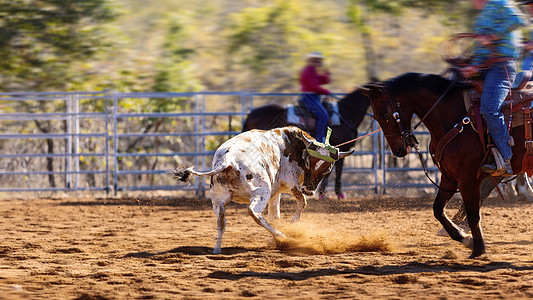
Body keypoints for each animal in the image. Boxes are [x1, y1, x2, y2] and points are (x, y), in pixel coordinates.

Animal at [170, 125, 354, 254]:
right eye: (309, 161)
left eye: (328, 168)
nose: (309, 189)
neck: (292, 145)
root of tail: (228, 161)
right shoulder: (291, 184)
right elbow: (302, 203)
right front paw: (292, 226)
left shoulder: (275, 193)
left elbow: (274, 215)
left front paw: (274, 241)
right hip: (261, 192)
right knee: (254, 212)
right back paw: (283, 236)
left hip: (219, 200)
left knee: (221, 222)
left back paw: (217, 248)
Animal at [241, 88, 370, 199]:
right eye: (308, 163)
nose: (308, 190)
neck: (344, 115)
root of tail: (251, 114)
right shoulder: (342, 145)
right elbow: (338, 171)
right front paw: (333, 194)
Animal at [364, 72, 524, 258]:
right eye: (375, 117)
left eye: (384, 114)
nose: (398, 151)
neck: (456, 120)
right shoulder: (450, 177)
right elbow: (438, 209)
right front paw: (466, 239)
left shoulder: (467, 178)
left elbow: (473, 214)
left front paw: (478, 249)